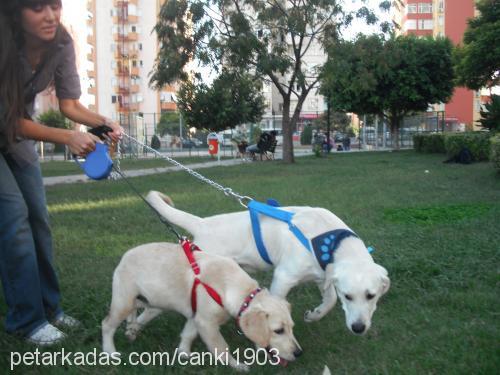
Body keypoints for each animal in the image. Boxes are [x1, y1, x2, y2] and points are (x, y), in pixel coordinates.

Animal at [101, 242, 300, 372]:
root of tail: (125, 255)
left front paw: (183, 353)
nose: (299, 353)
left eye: (292, 327)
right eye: (278, 331)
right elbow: (221, 347)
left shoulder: (196, 316)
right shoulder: (207, 323)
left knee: (136, 314)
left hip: (149, 300)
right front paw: (238, 366)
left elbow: (188, 334)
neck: (235, 290)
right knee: (107, 324)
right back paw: (111, 352)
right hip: (124, 300)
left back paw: (131, 330)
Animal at [146, 192, 390, 336]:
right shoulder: (283, 277)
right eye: (348, 296)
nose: (358, 328)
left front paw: (315, 314)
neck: (331, 241)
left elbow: (329, 301)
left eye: (371, 296)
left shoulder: (324, 275)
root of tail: (202, 224)